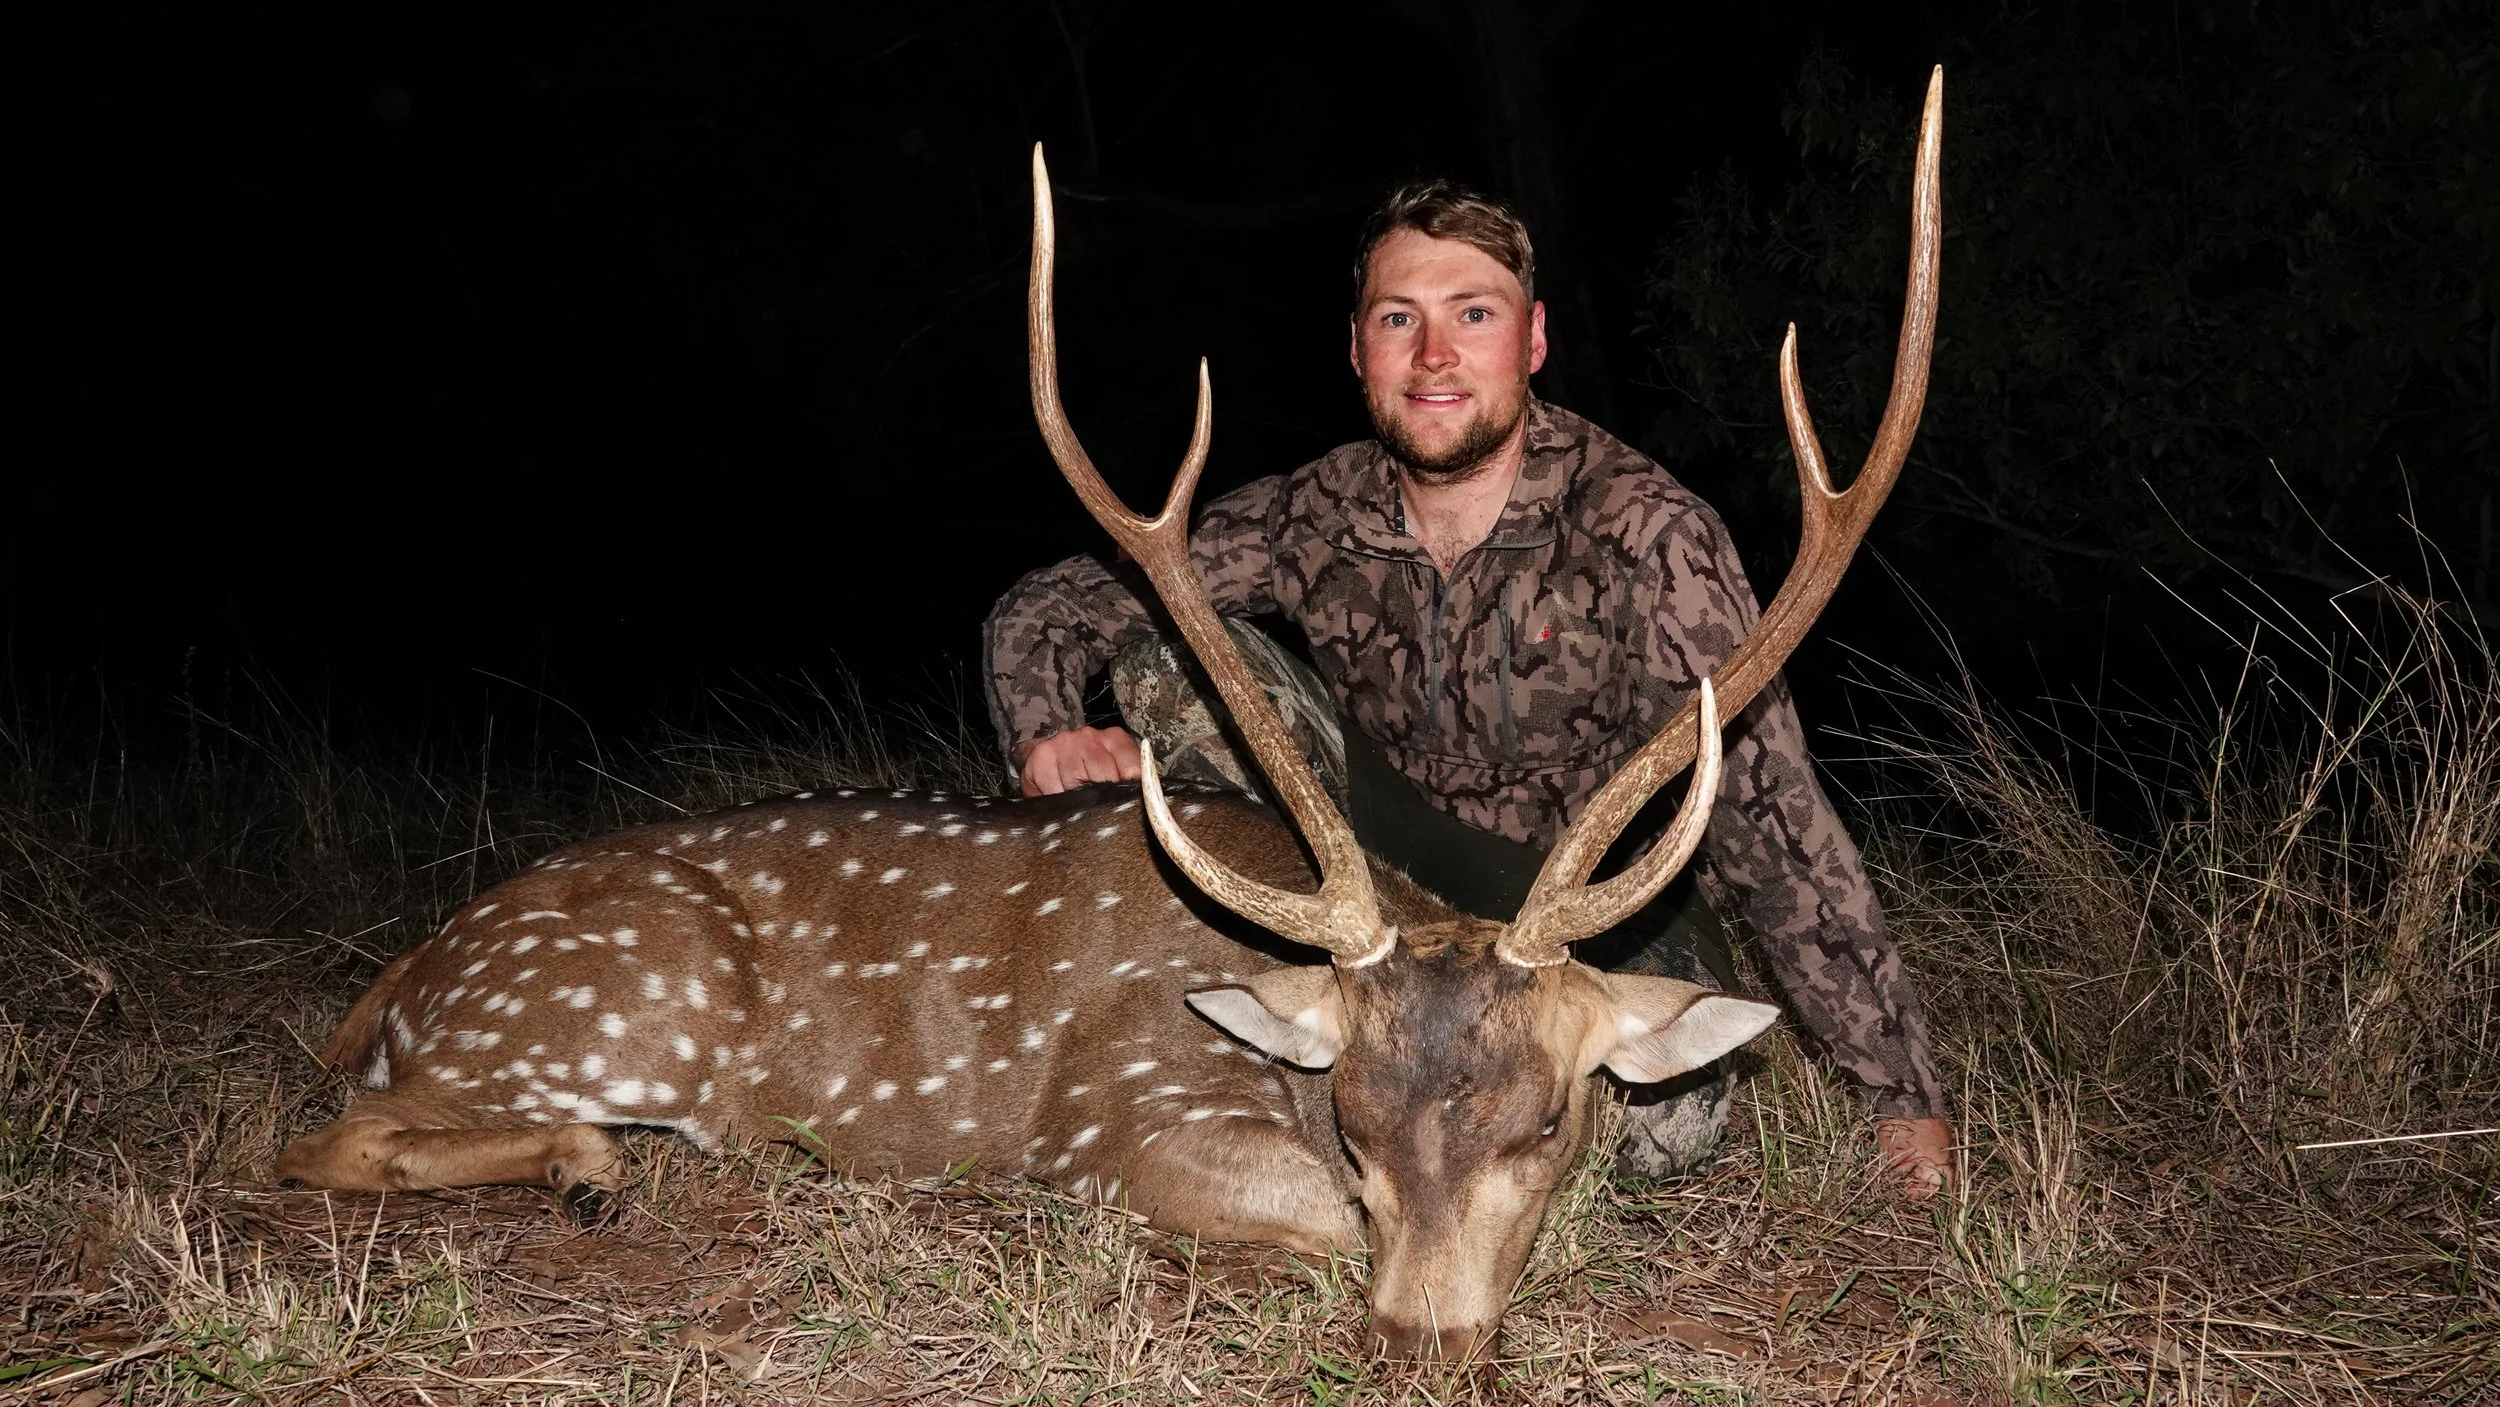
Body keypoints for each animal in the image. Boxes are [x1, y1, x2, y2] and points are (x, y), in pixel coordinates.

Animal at [276, 70, 1942, 1361]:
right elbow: (1316, 1222)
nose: (1422, 1340)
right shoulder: (1118, 1118)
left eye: (1545, 1120)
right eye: (1351, 1115)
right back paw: (581, 1164)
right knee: (323, 1135)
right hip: (594, 1008)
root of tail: (406, 974)